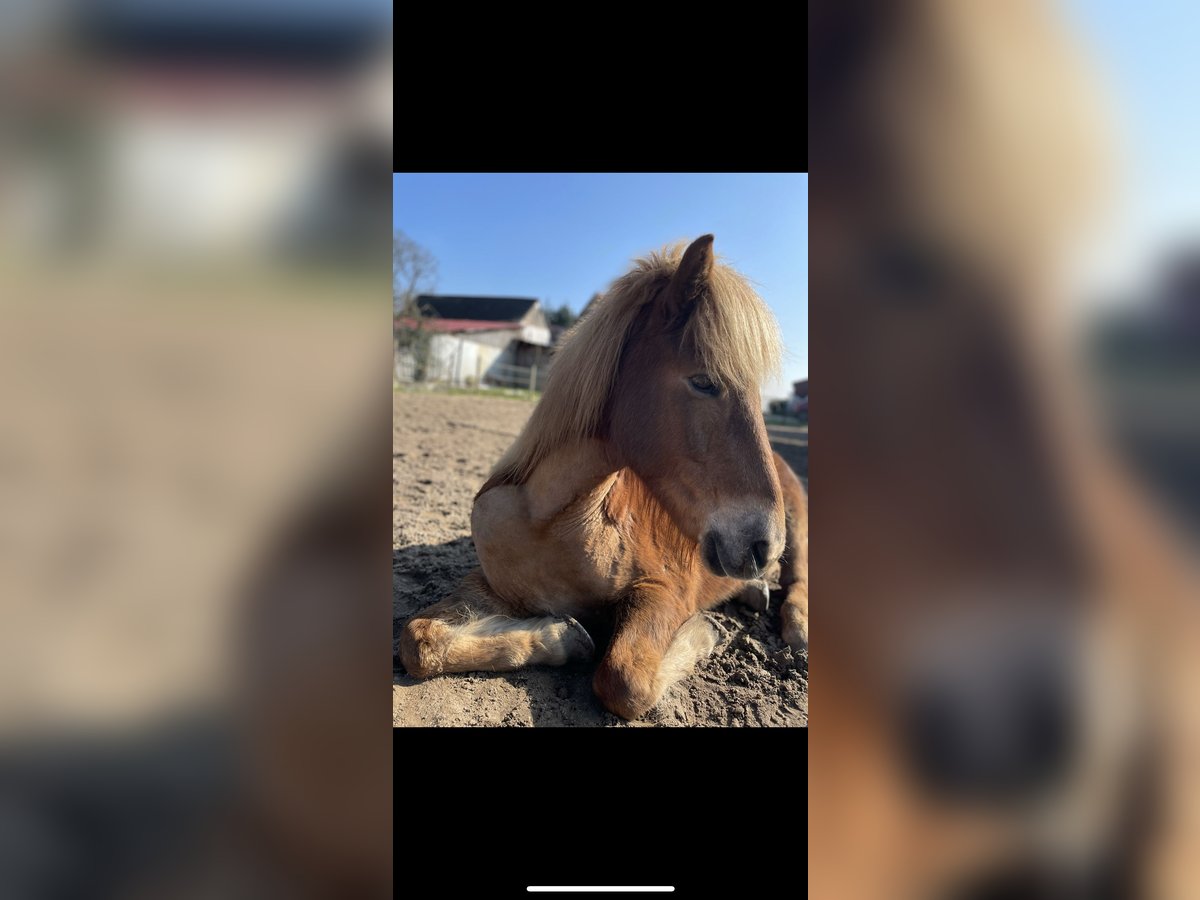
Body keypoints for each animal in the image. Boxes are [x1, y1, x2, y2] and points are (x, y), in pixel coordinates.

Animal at [399, 235, 808, 721]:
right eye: (704, 382)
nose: (764, 544)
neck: (554, 522)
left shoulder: (662, 590)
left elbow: (624, 678)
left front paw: (704, 633)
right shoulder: (485, 586)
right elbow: (418, 641)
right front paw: (561, 637)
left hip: (799, 529)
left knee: (799, 580)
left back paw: (796, 626)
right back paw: (753, 590)